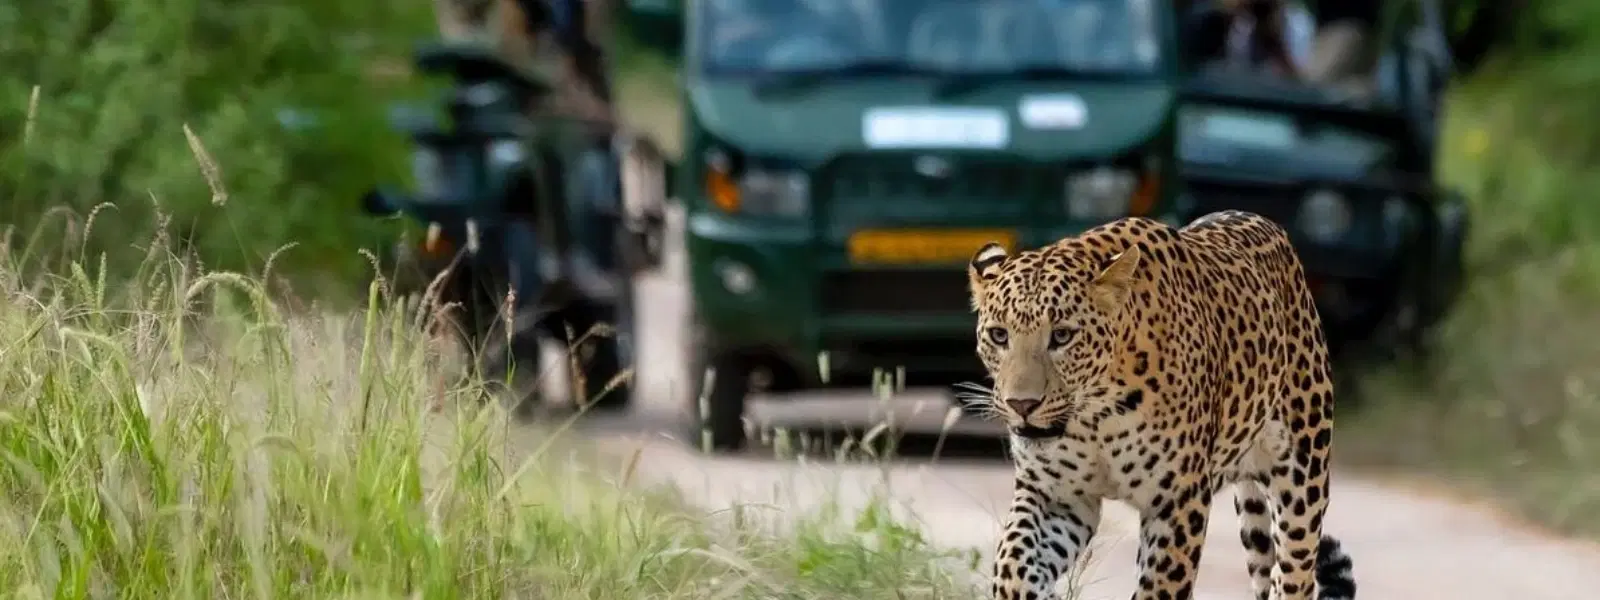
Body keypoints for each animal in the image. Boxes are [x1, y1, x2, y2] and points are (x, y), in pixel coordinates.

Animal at [959, 210, 1357, 600]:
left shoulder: (1178, 501)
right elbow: (1013, 569)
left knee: (1295, 576)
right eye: (999, 335)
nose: (1021, 404)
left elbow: (1159, 587)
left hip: (1302, 481)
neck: (1095, 417)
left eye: (1062, 336)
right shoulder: (1055, 494)